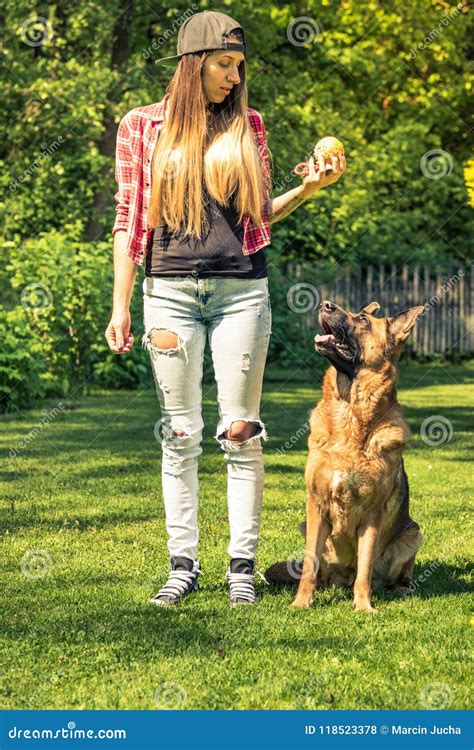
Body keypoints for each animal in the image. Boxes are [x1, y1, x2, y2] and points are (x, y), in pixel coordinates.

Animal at [266, 300, 426, 612]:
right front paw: (301, 602)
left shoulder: (372, 515)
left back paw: (401, 588)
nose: (326, 304)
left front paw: (363, 606)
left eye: (362, 319)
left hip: (413, 533)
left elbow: (364, 569)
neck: (349, 415)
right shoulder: (316, 506)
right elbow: (309, 566)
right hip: (308, 526)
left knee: (388, 575)